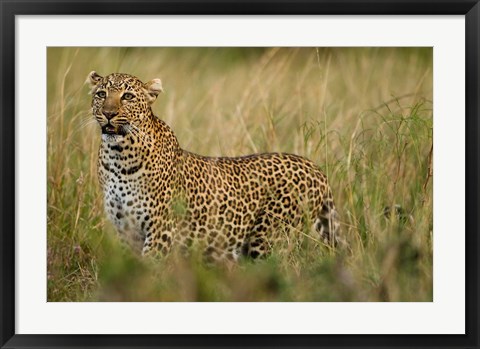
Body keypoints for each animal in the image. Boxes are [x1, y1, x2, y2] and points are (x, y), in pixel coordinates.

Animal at [87, 71, 342, 260]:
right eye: (101, 94)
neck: (118, 159)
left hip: (268, 238)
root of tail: (315, 168)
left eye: (128, 96)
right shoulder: (125, 232)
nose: (108, 113)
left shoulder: (161, 231)